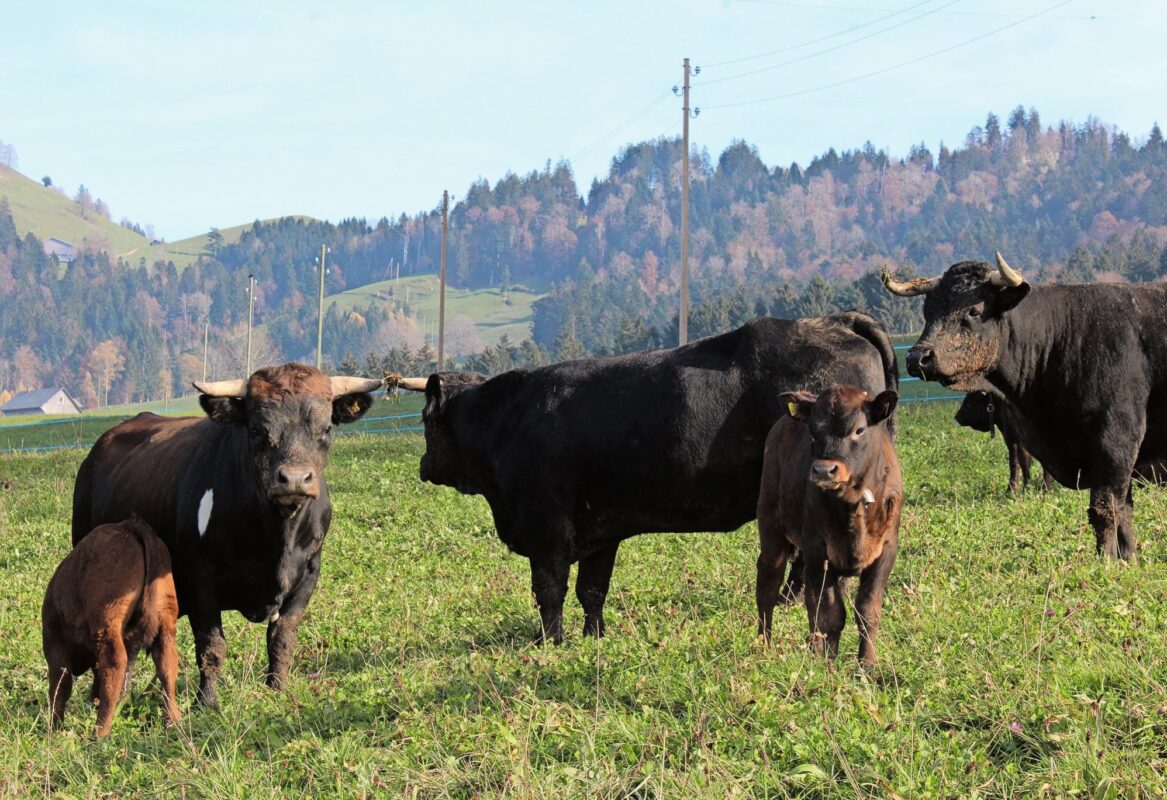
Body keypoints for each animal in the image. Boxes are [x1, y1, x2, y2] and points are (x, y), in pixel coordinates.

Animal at [42, 517, 179, 737]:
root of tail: (132, 525)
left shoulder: (53, 641)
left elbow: (60, 685)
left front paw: (53, 728)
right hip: (165, 621)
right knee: (167, 663)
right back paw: (172, 722)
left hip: (106, 625)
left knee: (114, 664)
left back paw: (99, 733)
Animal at [396, 312, 896, 643]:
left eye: (424, 420)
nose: (423, 464)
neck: (506, 419)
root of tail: (830, 320)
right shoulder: (599, 532)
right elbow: (592, 590)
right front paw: (593, 638)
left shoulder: (547, 530)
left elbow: (549, 592)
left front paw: (550, 643)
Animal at [756, 384, 900, 667]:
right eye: (813, 431)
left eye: (859, 429)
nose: (824, 470)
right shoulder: (817, 549)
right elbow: (832, 614)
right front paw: (830, 666)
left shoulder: (886, 550)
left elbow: (867, 611)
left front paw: (867, 666)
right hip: (771, 527)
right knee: (768, 583)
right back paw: (764, 646)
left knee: (810, 598)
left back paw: (814, 646)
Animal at [882, 254, 1167, 562]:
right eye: (927, 310)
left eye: (973, 311)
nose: (917, 357)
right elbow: (1124, 508)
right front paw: (1129, 558)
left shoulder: (1116, 438)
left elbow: (1106, 507)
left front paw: (1107, 559)